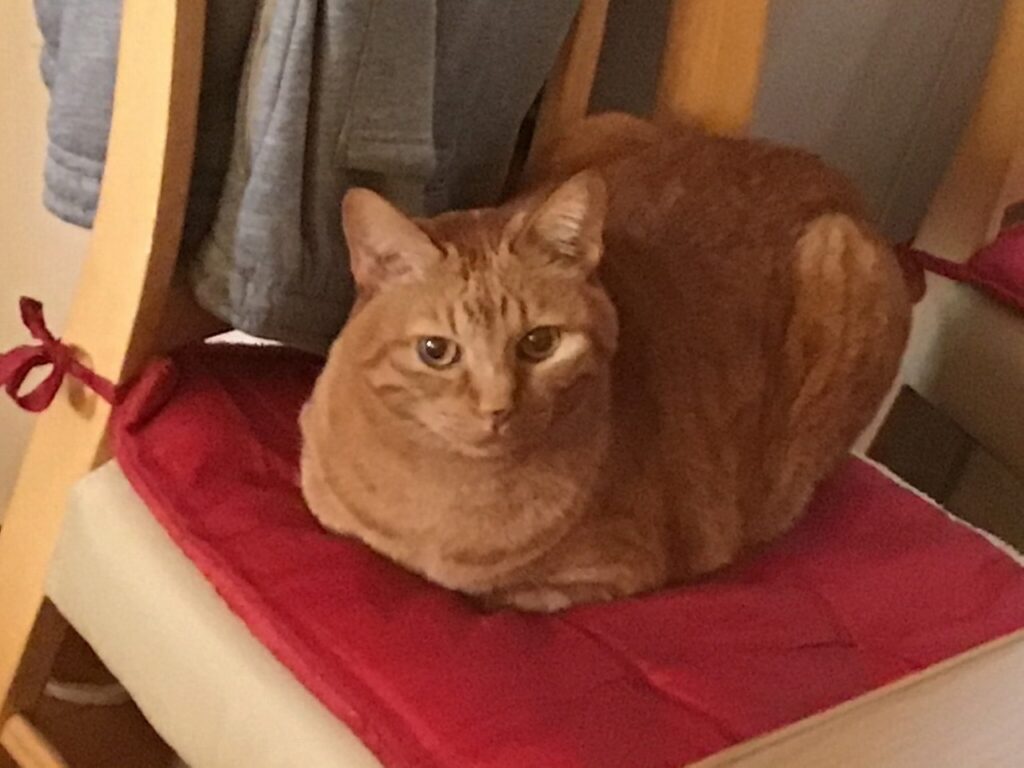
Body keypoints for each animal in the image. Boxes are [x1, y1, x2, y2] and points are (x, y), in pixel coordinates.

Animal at [300, 113, 912, 612]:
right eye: (436, 351)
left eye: (539, 343)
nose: (497, 407)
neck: (445, 495)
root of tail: (829, 173)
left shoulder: (611, 572)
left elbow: (499, 593)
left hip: (847, 259)